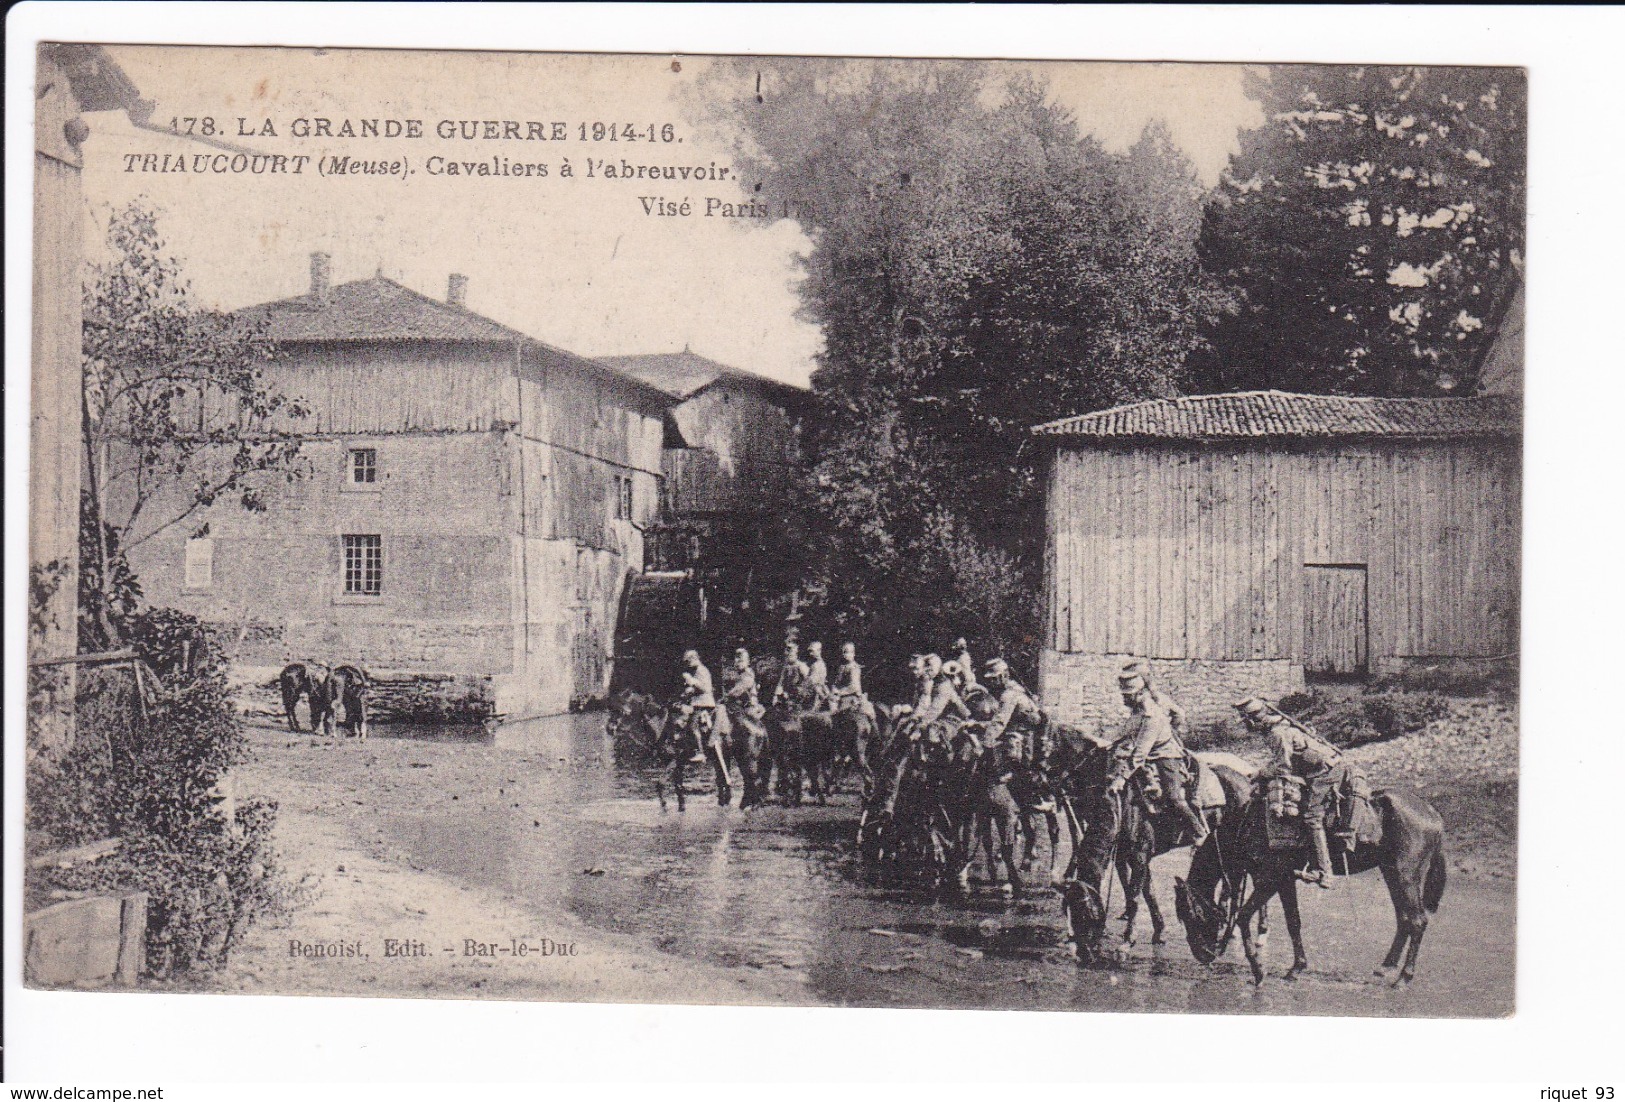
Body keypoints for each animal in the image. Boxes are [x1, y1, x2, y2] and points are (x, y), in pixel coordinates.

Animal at [1170, 773, 1449, 988]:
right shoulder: (1284, 880)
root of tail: (1433, 814)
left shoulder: (1270, 879)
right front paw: (1296, 968)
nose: (1203, 954)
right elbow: (1293, 922)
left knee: (1417, 920)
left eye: (1192, 914)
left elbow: (1243, 916)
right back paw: (1385, 966)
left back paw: (1404, 978)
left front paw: (1258, 970)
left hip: (1406, 874)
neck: (1248, 824)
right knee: (1404, 918)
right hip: (1392, 872)